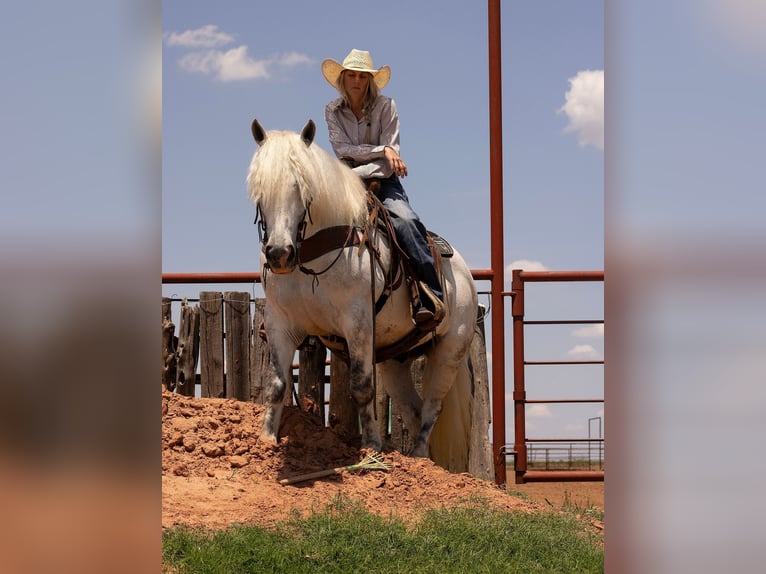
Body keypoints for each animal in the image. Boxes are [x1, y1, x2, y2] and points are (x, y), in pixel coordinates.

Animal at [248, 118, 480, 472]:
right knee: (413, 409)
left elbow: (361, 387)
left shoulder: (357, 322)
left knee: (432, 407)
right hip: (396, 360)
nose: (278, 254)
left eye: (303, 187)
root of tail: (465, 275)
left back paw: (417, 454)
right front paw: (265, 439)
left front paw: (371, 446)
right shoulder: (279, 323)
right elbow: (277, 385)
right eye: (259, 189)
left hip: (450, 349)